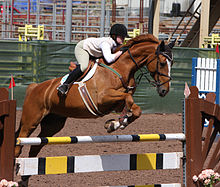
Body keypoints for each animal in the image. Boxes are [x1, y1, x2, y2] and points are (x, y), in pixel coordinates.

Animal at [15, 32, 174, 159]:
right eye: (161, 63)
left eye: (171, 63)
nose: (164, 91)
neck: (121, 67)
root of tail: (34, 87)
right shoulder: (102, 99)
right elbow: (128, 99)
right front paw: (115, 123)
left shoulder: (116, 103)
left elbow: (134, 108)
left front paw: (116, 123)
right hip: (31, 120)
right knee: (20, 141)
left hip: (53, 123)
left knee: (35, 146)